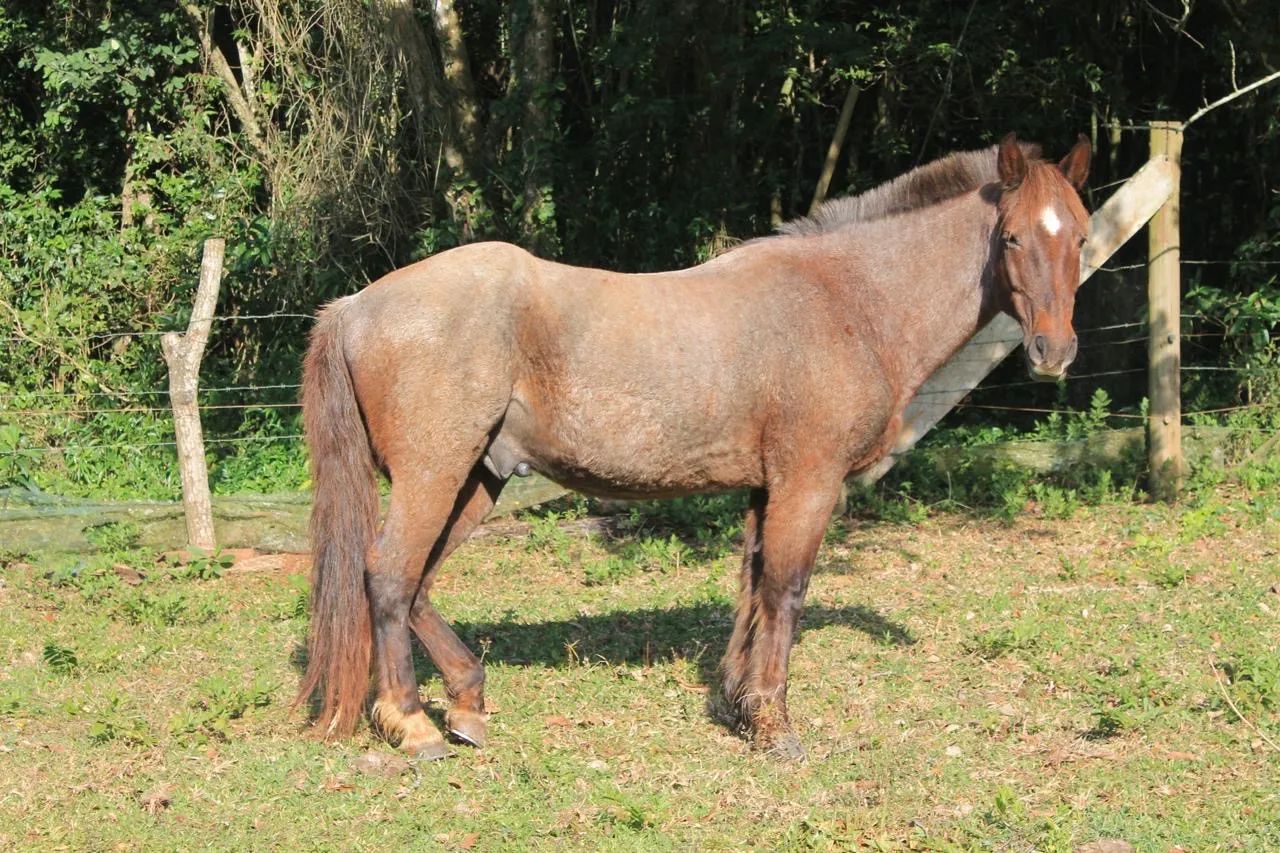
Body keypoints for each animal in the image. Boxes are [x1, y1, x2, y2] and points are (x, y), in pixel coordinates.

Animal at [296, 132, 1092, 761]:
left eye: (1080, 237)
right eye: (1013, 237)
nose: (1053, 352)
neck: (846, 299)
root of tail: (356, 305)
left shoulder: (767, 486)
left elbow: (753, 587)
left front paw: (740, 706)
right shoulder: (808, 481)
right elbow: (786, 590)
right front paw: (774, 725)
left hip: (477, 478)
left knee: (418, 582)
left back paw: (466, 702)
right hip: (435, 474)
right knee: (389, 575)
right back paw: (412, 723)